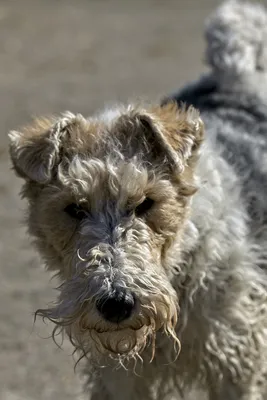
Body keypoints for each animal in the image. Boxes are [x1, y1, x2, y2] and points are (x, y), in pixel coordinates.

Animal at [7, 1, 267, 398]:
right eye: (74, 208)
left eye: (146, 204)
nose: (117, 304)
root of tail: (236, 74)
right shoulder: (122, 377)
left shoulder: (237, 363)